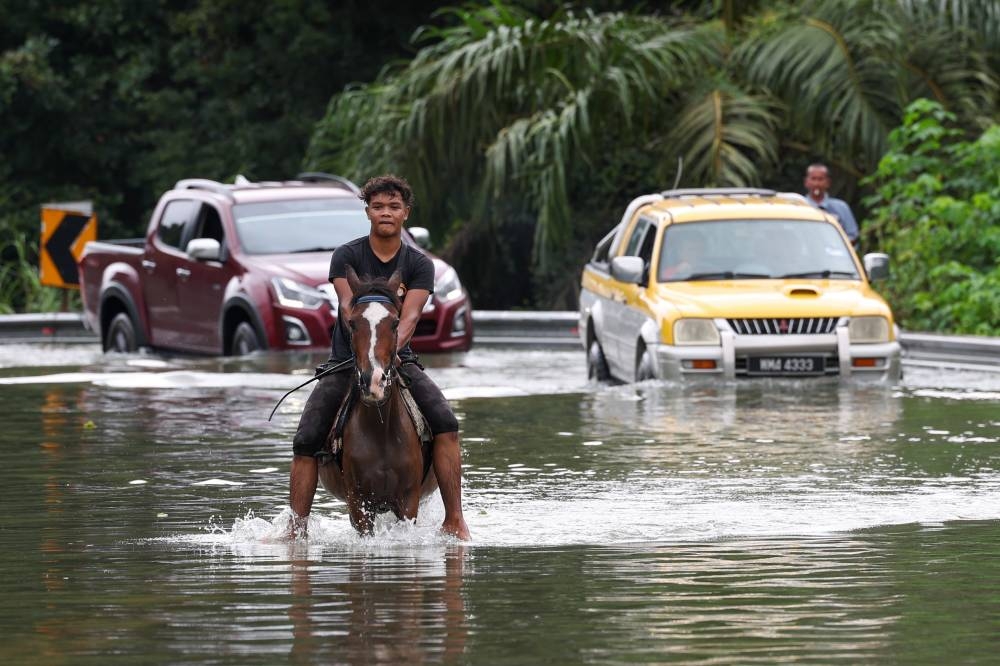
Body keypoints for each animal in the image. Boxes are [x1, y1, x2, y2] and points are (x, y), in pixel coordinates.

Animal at [316, 268, 434, 532]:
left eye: (395, 323)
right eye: (352, 323)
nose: (374, 382)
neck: (381, 428)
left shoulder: (409, 500)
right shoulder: (358, 502)